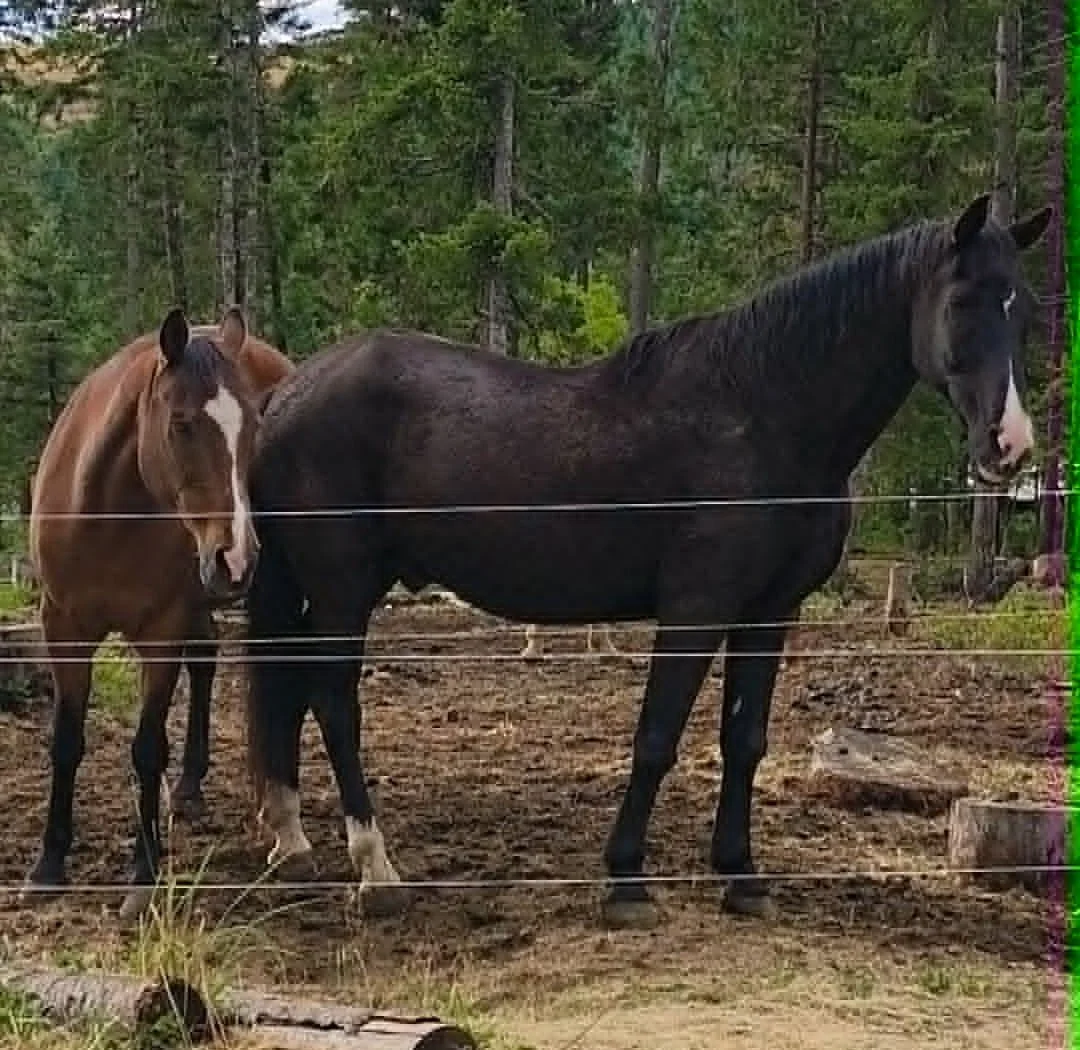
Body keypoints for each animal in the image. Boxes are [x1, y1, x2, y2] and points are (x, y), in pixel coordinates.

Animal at [24, 307, 292, 922]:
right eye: (182, 424)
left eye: (253, 428)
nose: (237, 558)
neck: (106, 516)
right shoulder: (63, 629)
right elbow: (65, 741)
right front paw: (49, 864)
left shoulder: (161, 633)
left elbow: (147, 749)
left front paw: (143, 873)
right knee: (207, 662)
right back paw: (189, 787)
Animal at [242, 194, 1050, 927]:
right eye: (963, 300)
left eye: (1024, 310)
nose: (1009, 445)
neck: (763, 417)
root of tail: (288, 392)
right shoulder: (696, 609)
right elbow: (657, 738)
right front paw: (626, 880)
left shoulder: (767, 614)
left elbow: (744, 740)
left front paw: (741, 876)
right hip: (343, 587)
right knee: (334, 704)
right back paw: (376, 872)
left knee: (291, 693)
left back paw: (293, 843)